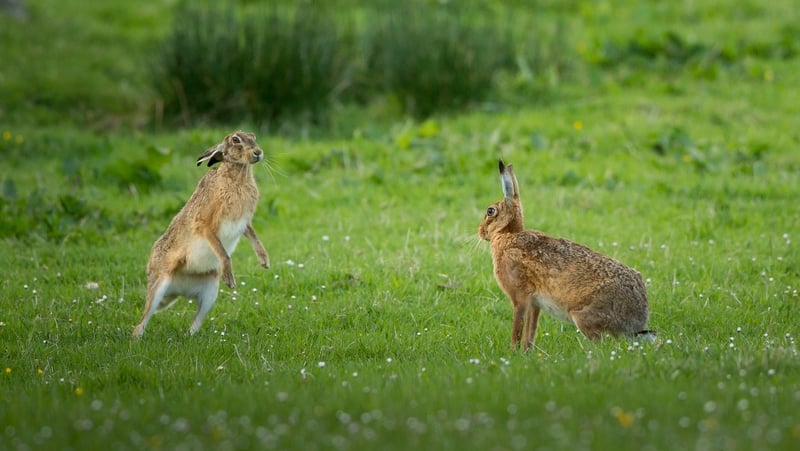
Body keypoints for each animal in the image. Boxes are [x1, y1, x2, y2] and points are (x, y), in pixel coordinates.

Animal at [132, 131, 270, 338]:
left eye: (253, 136)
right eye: (235, 140)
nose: (258, 152)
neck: (237, 174)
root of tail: (178, 290)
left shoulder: (245, 223)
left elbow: (254, 237)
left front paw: (264, 261)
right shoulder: (204, 224)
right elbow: (223, 252)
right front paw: (230, 280)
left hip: (210, 290)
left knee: (195, 322)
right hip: (160, 283)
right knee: (141, 322)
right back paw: (137, 338)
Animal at [478, 160, 653, 350]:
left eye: (490, 211)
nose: (480, 231)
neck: (508, 234)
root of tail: (637, 318)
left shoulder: (520, 298)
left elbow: (517, 328)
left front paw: (512, 351)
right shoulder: (535, 304)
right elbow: (530, 331)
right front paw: (526, 352)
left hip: (584, 317)